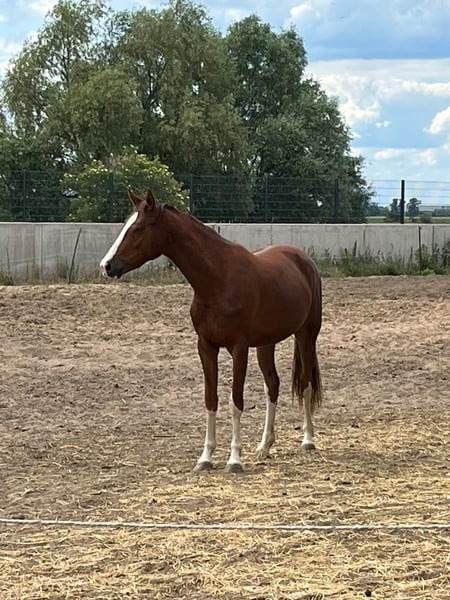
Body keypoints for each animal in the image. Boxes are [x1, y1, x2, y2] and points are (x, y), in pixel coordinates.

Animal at [100, 189, 323, 473]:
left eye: (139, 228)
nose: (106, 265)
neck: (218, 279)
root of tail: (303, 259)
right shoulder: (206, 346)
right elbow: (211, 399)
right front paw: (205, 458)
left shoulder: (239, 348)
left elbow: (235, 401)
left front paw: (234, 459)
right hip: (266, 344)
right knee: (272, 385)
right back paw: (264, 445)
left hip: (306, 335)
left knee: (305, 384)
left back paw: (308, 440)